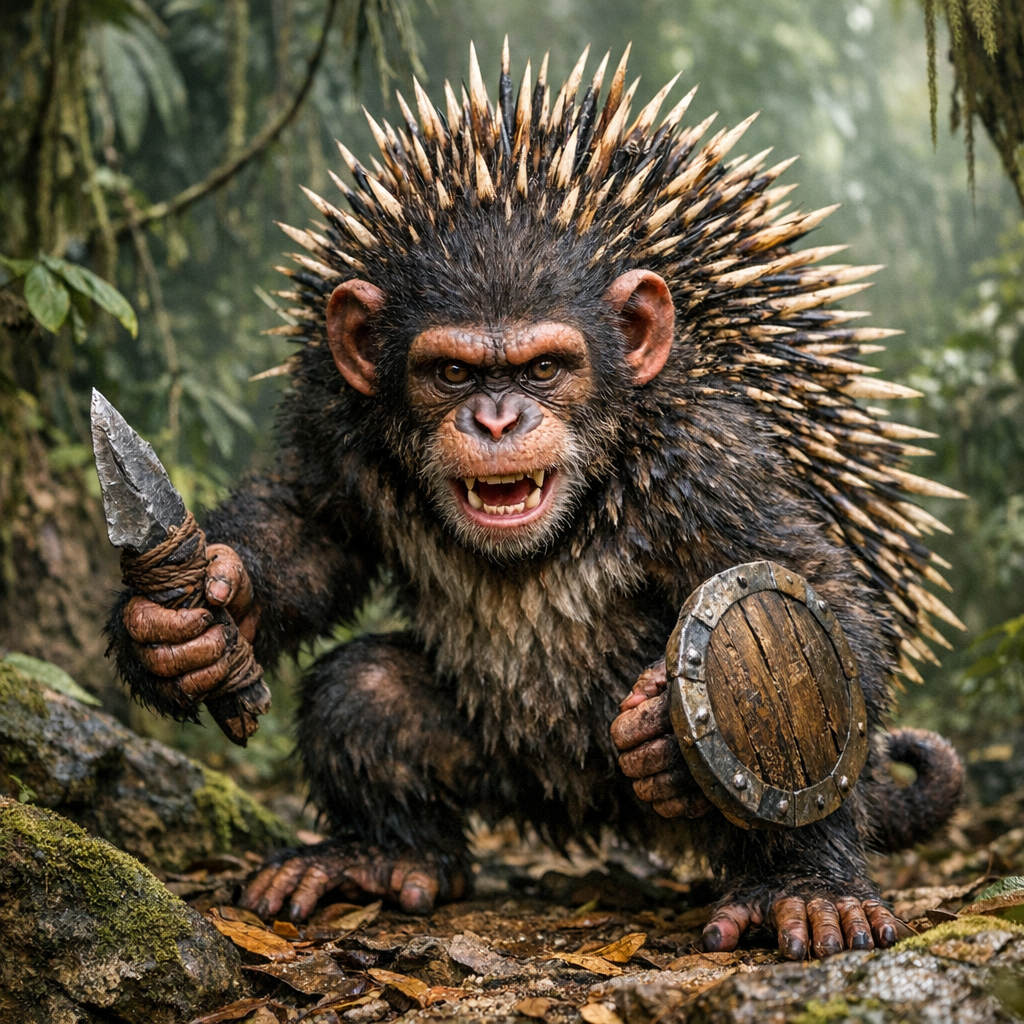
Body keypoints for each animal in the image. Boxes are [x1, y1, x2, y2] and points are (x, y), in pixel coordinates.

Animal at [106, 42, 964, 961]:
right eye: (451, 371)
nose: (496, 419)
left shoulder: (707, 457)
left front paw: (682, 750)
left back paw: (793, 877)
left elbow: (815, 584)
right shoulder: (338, 418)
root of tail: (577, 806)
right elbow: (311, 529)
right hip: (501, 758)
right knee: (364, 690)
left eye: (545, 366)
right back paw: (383, 856)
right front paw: (186, 627)